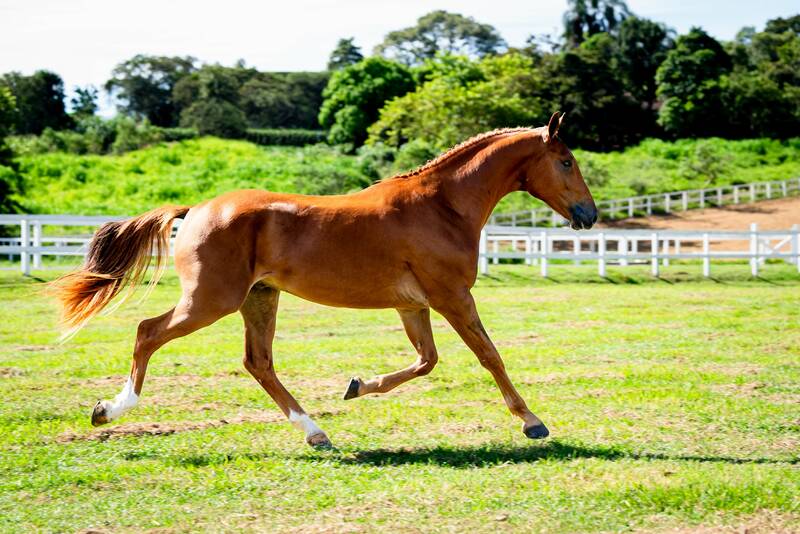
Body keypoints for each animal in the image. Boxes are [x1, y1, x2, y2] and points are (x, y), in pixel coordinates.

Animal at [53, 113, 596, 448]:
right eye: (566, 161)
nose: (588, 215)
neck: (441, 206)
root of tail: (195, 211)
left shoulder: (414, 305)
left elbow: (426, 362)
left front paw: (356, 386)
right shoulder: (452, 297)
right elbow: (488, 356)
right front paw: (533, 423)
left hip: (258, 299)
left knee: (258, 363)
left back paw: (317, 433)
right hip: (211, 300)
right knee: (148, 332)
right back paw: (109, 410)